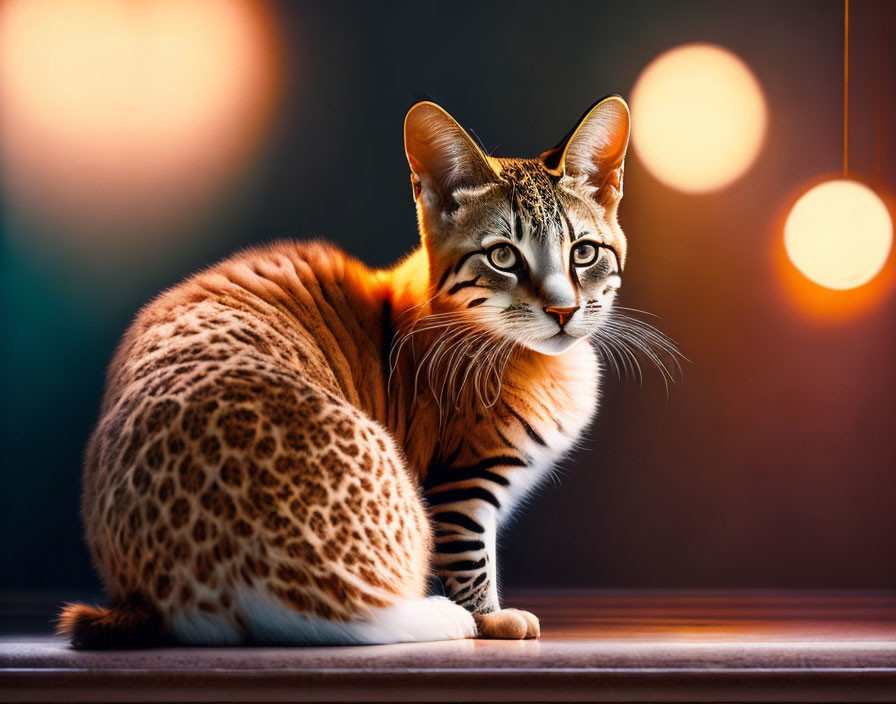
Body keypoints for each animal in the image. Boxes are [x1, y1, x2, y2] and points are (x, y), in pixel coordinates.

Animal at [56, 96, 668, 648]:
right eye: (502, 257)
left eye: (584, 253)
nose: (564, 309)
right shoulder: (461, 484)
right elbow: (470, 552)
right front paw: (488, 618)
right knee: (341, 617)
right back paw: (441, 617)